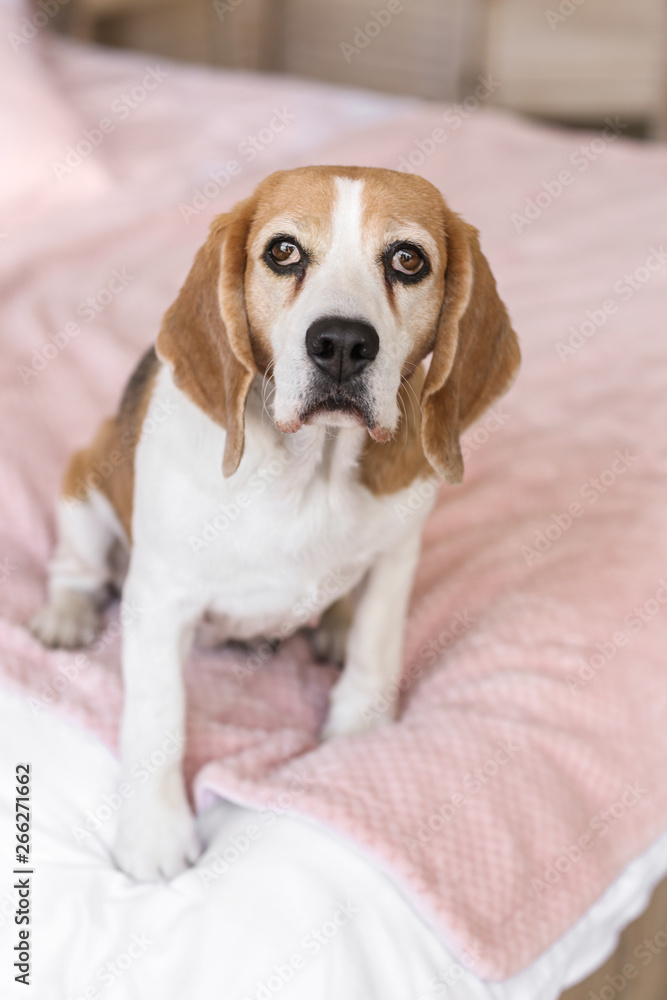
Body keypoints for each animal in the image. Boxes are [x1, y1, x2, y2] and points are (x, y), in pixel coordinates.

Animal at [30, 168, 520, 880]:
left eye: (409, 260)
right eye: (282, 252)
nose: (342, 343)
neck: (311, 472)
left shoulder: (399, 552)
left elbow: (377, 644)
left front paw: (358, 734)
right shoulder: (159, 601)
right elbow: (157, 716)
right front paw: (154, 834)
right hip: (86, 481)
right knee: (76, 567)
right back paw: (66, 614)